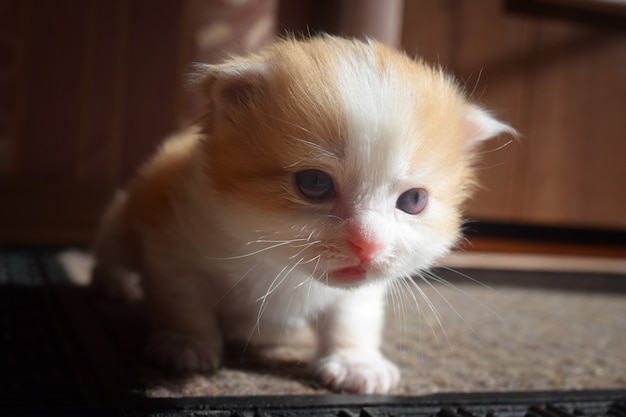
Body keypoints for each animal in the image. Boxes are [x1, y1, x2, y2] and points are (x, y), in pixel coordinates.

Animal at [90, 35, 516, 394]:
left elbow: (352, 315)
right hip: (125, 216)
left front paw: (356, 363)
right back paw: (113, 284)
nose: (369, 245)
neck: (281, 266)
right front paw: (184, 344)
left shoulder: (357, 291)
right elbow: (183, 298)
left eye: (413, 200)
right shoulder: (172, 236)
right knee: (110, 247)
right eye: (314, 183)